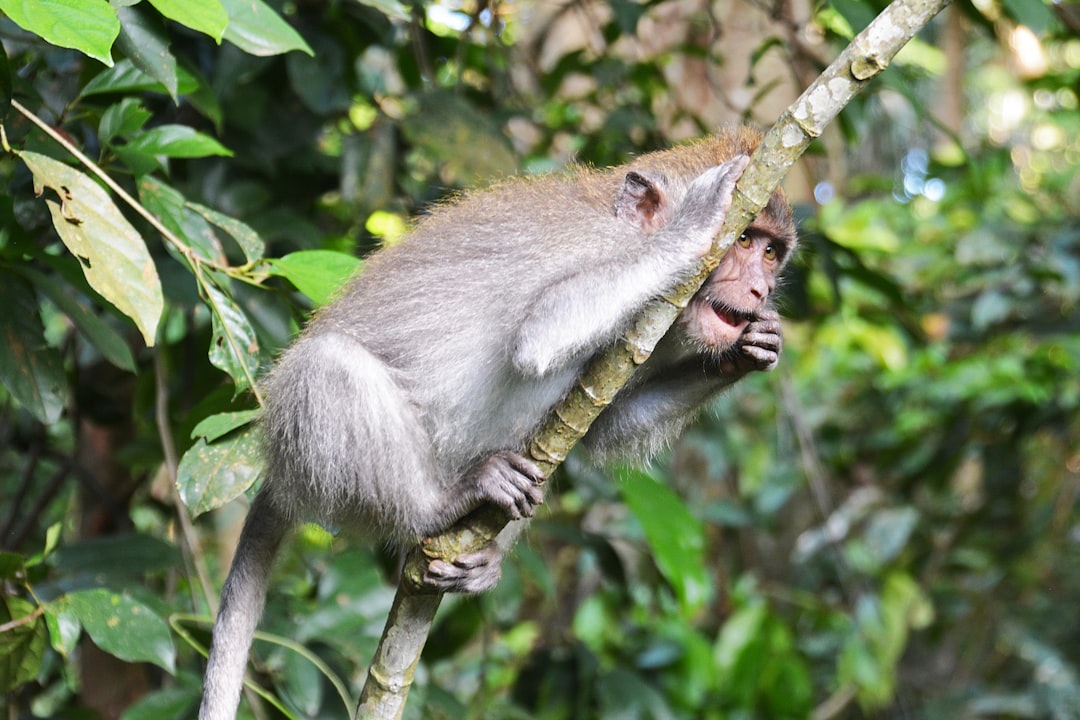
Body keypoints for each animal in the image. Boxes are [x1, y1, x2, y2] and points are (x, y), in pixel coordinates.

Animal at [198, 125, 799, 720]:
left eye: (771, 253)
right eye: (743, 241)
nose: (758, 290)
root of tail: (280, 467)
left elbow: (604, 422)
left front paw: (748, 351)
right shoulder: (604, 252)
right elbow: (543, 331)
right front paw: (696, 222)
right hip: (318, 459)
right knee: (328, 366)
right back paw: (440, 505)